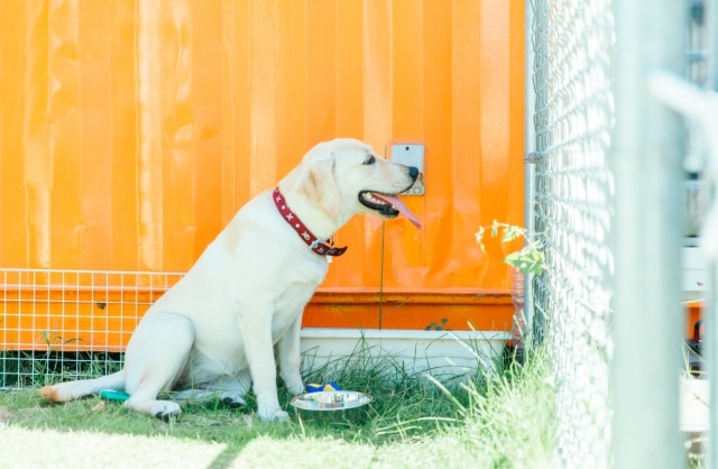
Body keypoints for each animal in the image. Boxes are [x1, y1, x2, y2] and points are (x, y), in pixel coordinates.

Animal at [40, 138, 422, 420]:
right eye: (369, 160)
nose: (415, 169)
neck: (296, 225)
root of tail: (128, 368)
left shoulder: (294, 314)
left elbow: (290, 362)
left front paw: (301, 396)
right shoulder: (256, 310)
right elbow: (267, 368)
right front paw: (273, 413)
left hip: (231, 374)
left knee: (184, 389)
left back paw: (223, 400)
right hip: (179, 329)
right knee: (137, 396)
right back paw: (163, 408)